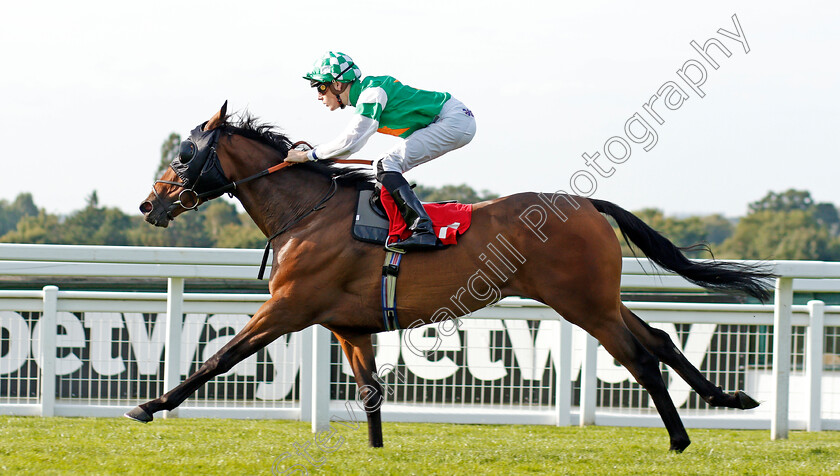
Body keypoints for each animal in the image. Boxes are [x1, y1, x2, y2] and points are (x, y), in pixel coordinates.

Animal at [130, 102, 776, 452]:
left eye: (183, 156)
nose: (149, 204)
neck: (306, 212)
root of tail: (587, 204)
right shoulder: (348, 326)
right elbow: (369, 392)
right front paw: (375, 452)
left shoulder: (288, 308)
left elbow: (219, 358)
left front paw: (151, 405)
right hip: (599, 297)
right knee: (660, 339)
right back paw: (728, 398)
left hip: (582, 303)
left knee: (640, 358)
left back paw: (679, 438)